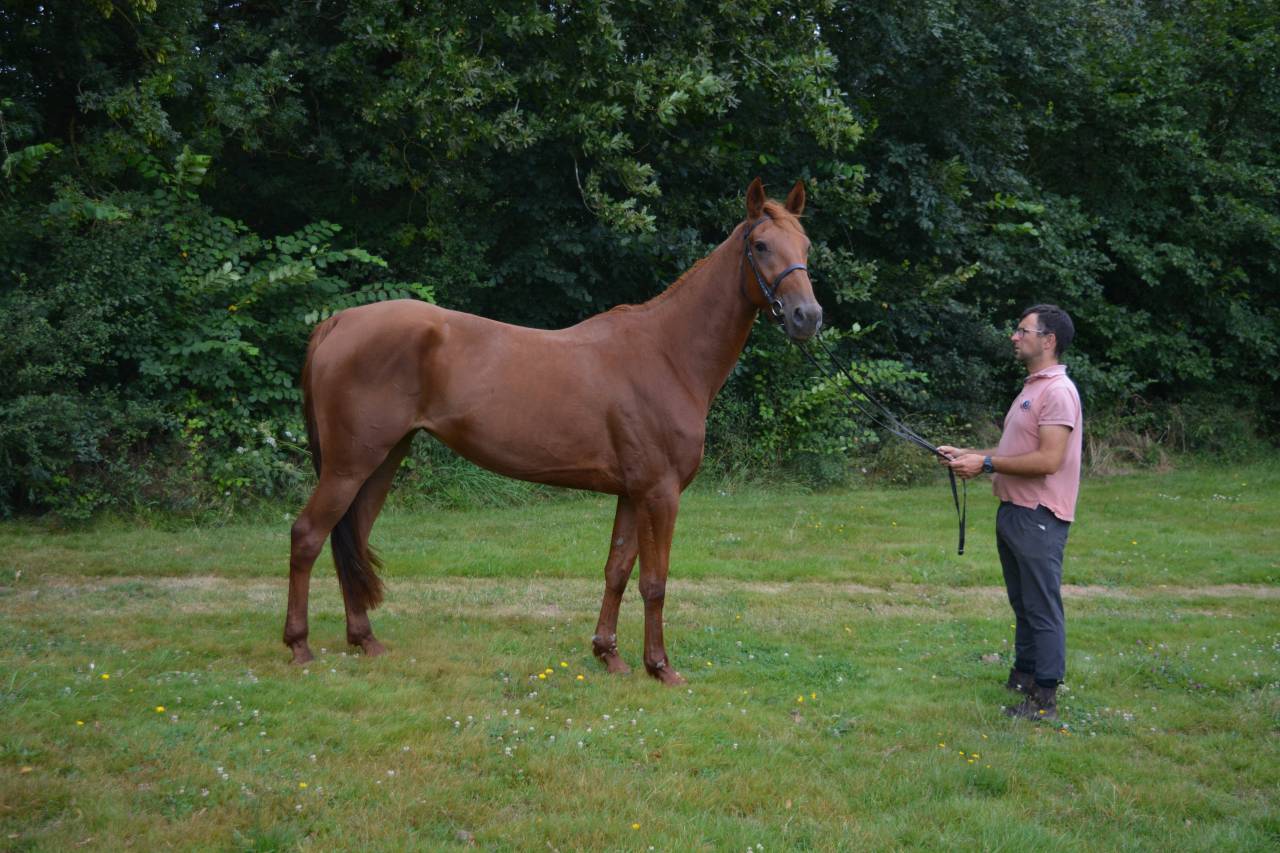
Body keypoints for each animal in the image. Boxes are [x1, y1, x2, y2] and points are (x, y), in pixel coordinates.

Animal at [283, 178, 822, 685]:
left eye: (806, 245)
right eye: (760, 246)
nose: (808, 317)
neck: (667, 354)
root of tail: (337, 322)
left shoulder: (631, 493)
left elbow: (617, 571)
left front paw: (609, 655)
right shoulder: (660, 493)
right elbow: (655, 581)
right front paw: (660, 667)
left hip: (382, 460)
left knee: (351, 537)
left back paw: (365, 640)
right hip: (350, 465)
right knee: (308, 535)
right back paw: (300, 646)